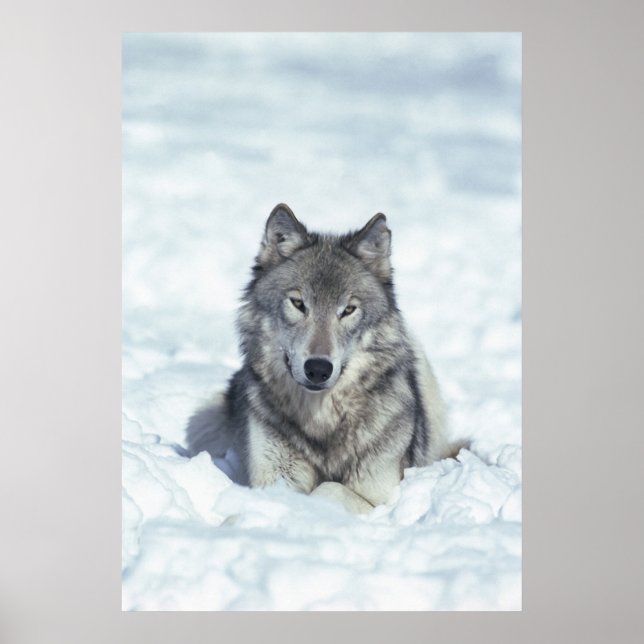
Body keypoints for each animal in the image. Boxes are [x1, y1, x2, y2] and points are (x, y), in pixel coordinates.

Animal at [186, 203, 460, 513]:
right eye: (298, 304)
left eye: (348, 310)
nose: (318, 369)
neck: (322, 421)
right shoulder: (275, 478)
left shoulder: (379, 497)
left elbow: (327, 489)